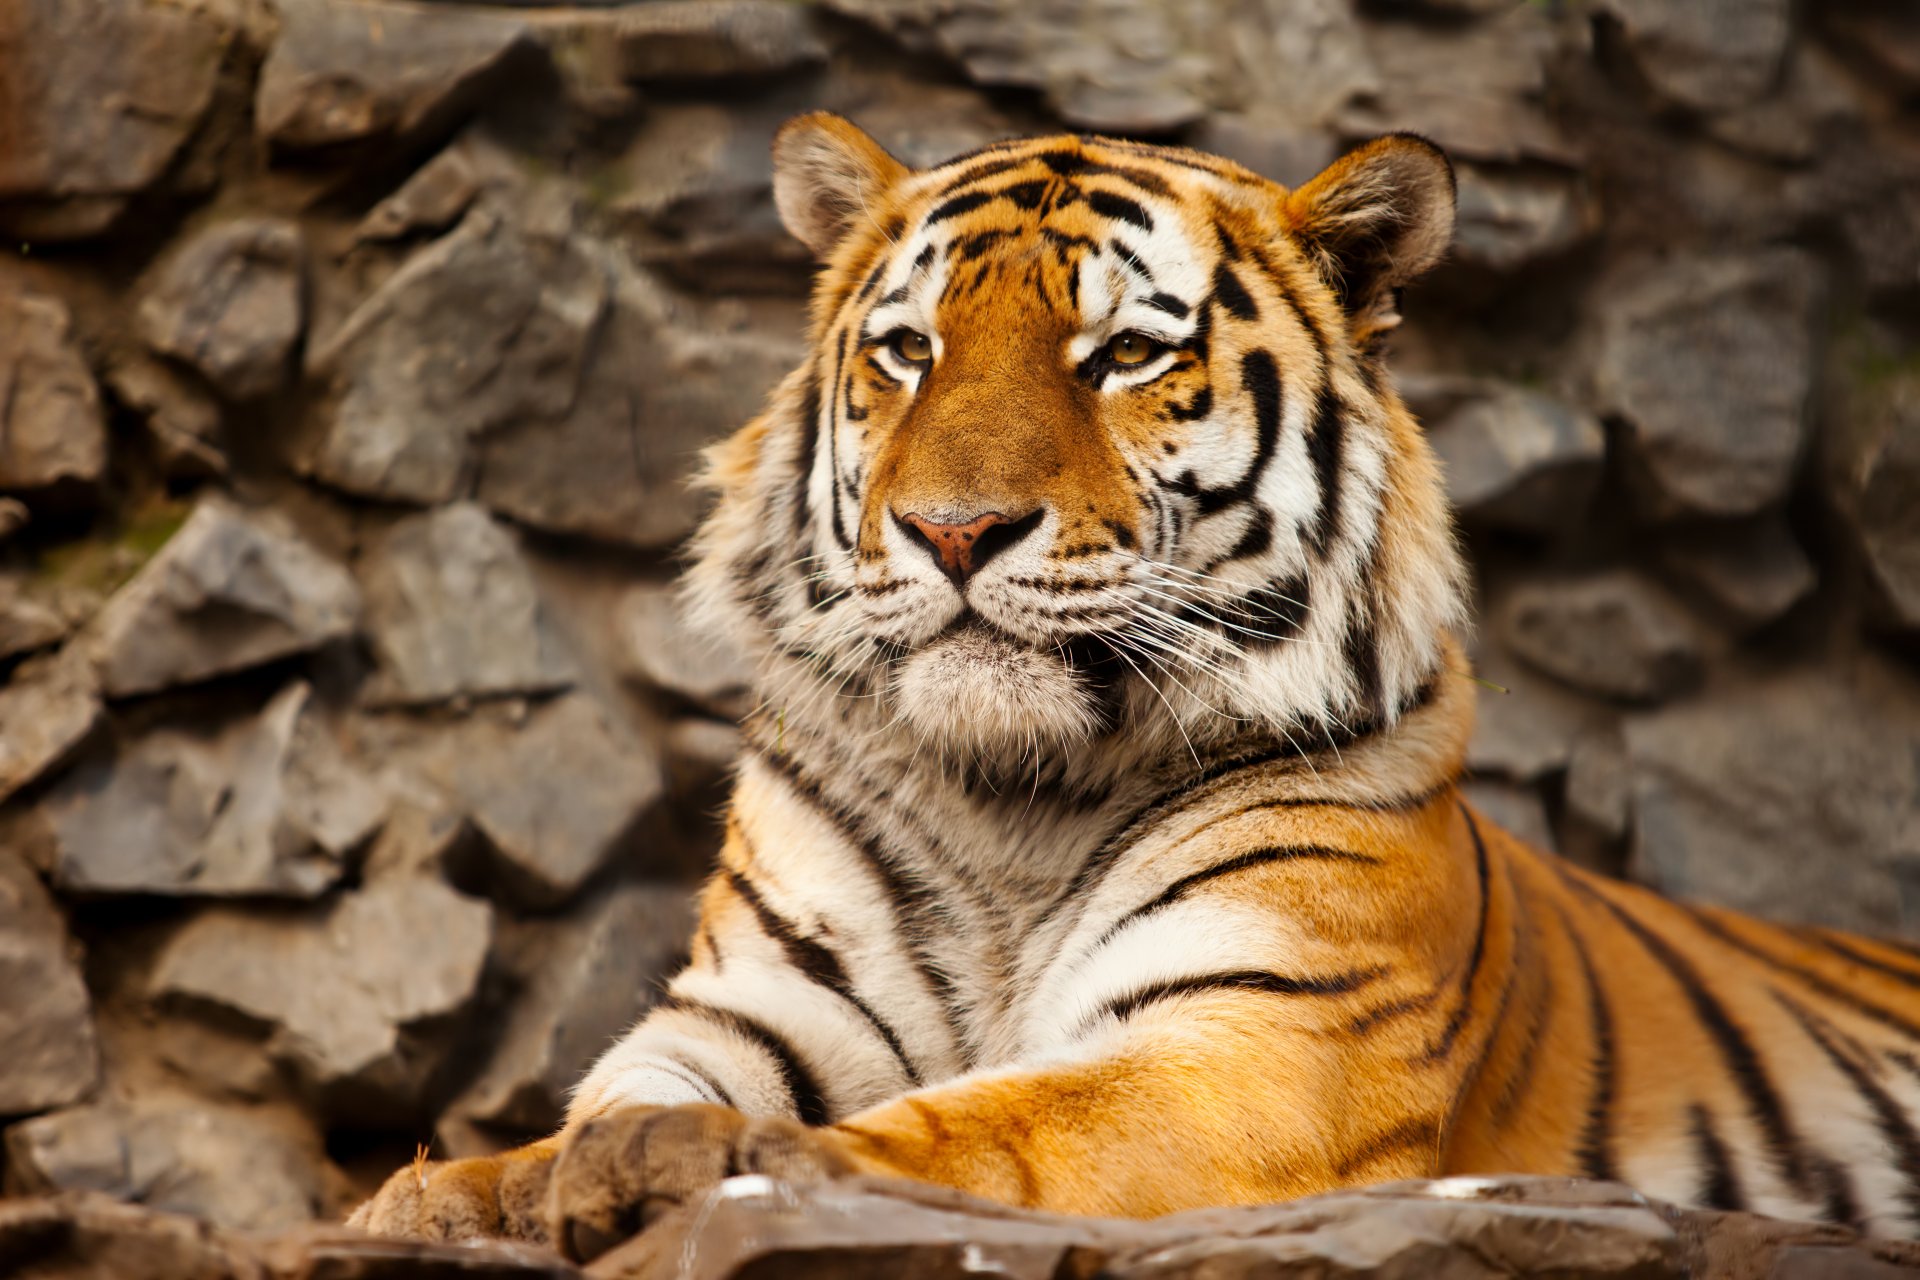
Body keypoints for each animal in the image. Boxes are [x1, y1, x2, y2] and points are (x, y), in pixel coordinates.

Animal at [351, 113, 1920, 1259]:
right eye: (908, 350)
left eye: (1122, 356)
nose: (954, 531)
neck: (1011, 798)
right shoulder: (753, 1007)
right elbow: (605, 1099)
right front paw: (453, 1190)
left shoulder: (1263, 1042)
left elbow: (981, 1126)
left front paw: (713, 1164)